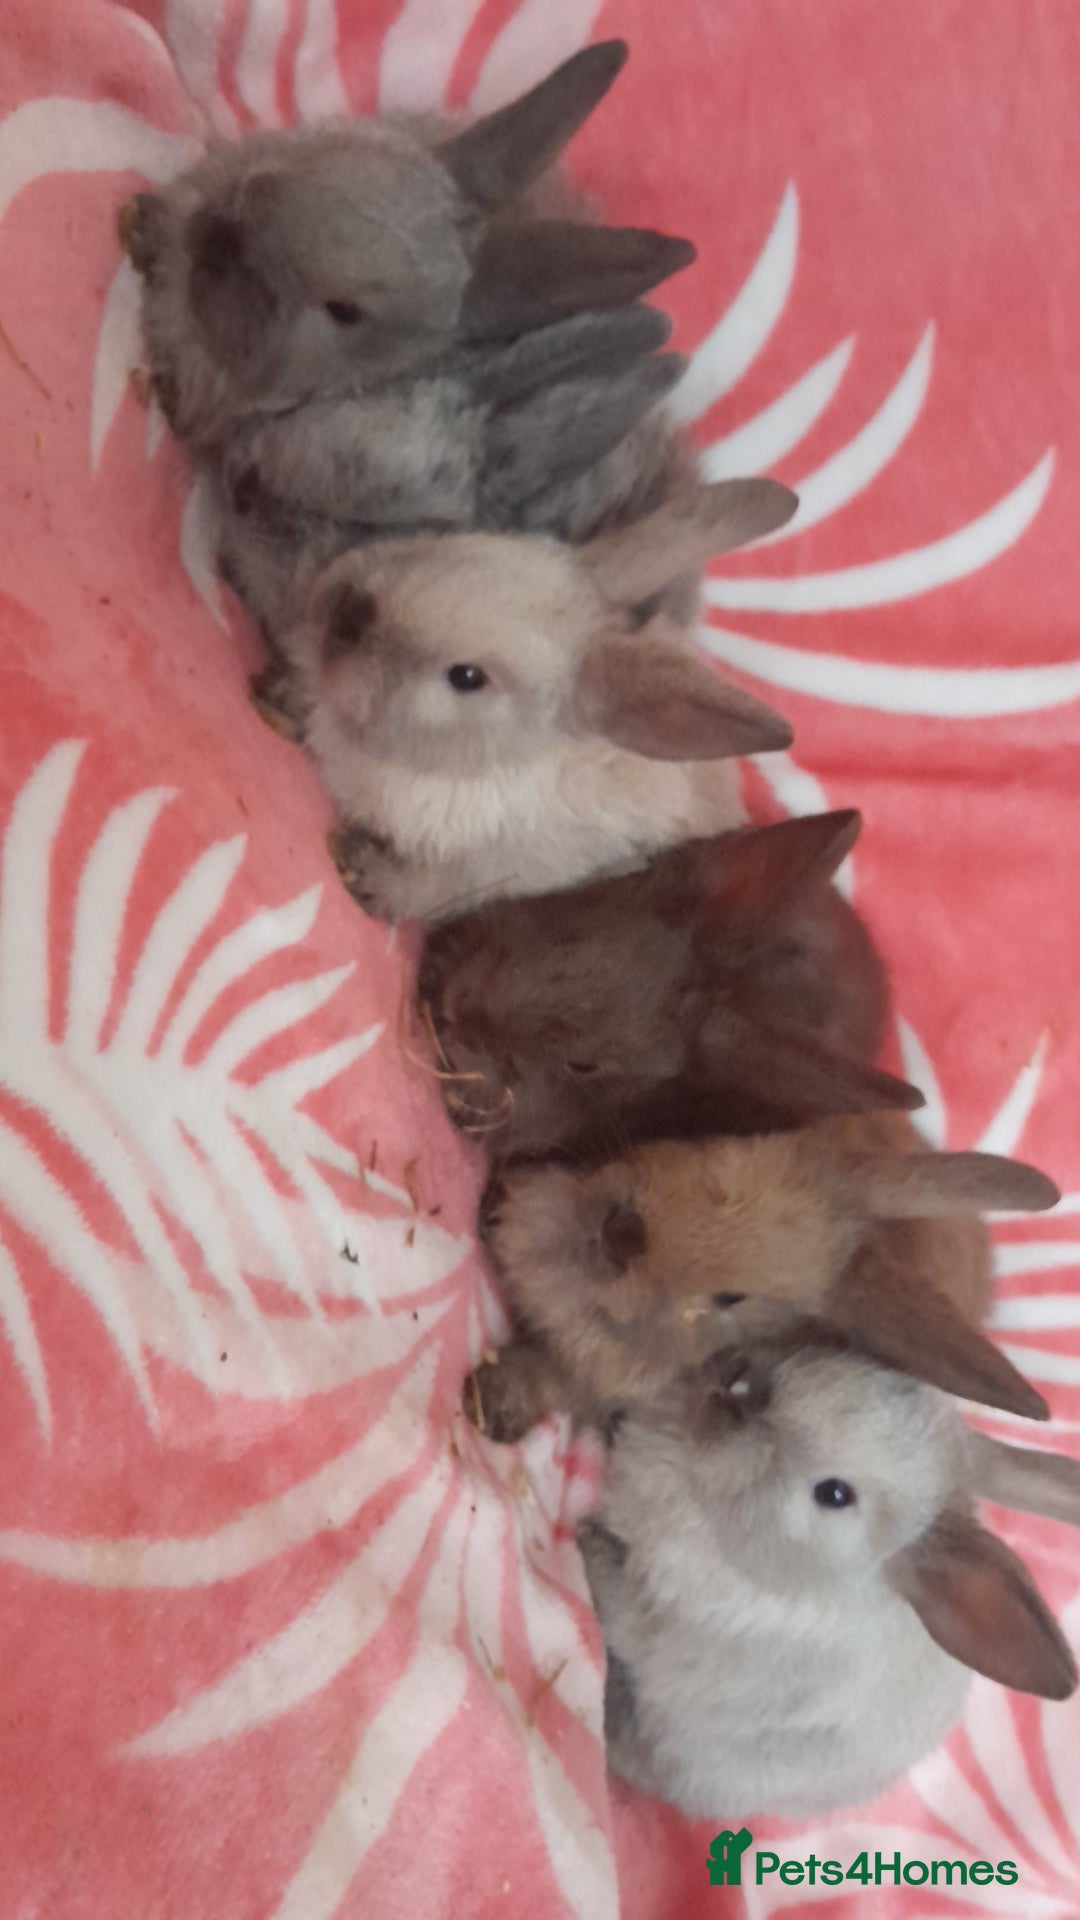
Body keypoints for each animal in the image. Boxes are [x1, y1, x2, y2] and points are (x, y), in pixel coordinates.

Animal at [279, 478, 797, 923]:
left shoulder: (498, 867)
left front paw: (361, 873)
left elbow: (430, 892)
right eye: (455, 540)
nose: (349, 613)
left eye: (467, 677)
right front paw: (282, 697)